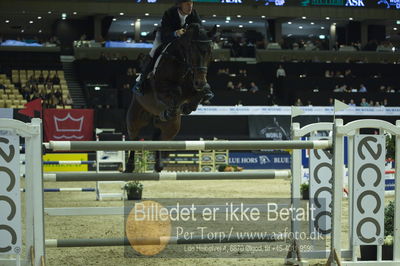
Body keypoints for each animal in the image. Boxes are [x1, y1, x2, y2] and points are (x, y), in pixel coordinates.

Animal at [126, 22, 217, 172]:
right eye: (193, 51)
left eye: (210, 53)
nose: (200, 82)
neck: (181, 62)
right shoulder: (160, 90)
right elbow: (176, 92)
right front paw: (177, 108)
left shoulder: (194, 88)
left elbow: (202, 93)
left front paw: (189, 106)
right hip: (135, 117)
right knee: (133, 138)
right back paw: (129, 166)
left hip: (172, 127)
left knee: (158, 139)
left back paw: (158, 165)